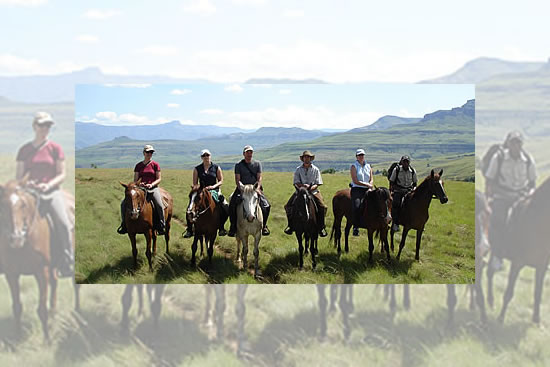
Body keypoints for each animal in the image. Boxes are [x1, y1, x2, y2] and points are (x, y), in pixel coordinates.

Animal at [0, 176, 80, 342]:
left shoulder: (41, 272)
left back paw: (77, 313)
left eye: (23, 204)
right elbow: (17, 307)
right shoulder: (11, 274)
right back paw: (54, 316)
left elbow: (41, 309)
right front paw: (17, 337)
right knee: (54, 285)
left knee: (75, 287)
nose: (15, 238)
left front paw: (47, 340)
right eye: (2, 205)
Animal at [490, 177, 550, 324]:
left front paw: (536, 320)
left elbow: (538, 293)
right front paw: (500, 319)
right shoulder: (517, 263)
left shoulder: (541, 266)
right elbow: (508, 293)